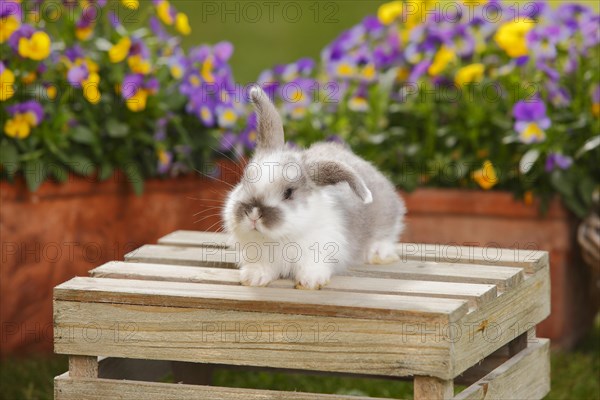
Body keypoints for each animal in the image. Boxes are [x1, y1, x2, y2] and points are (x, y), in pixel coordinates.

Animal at [223, 86, 406, 290]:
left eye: (288, 193)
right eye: (245, 179)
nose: (254, 214)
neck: (279, 238)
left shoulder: (321, 250)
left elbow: (312, 266)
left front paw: (310, 282)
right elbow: (261, 267)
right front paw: (253, 278)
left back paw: (378, 253)